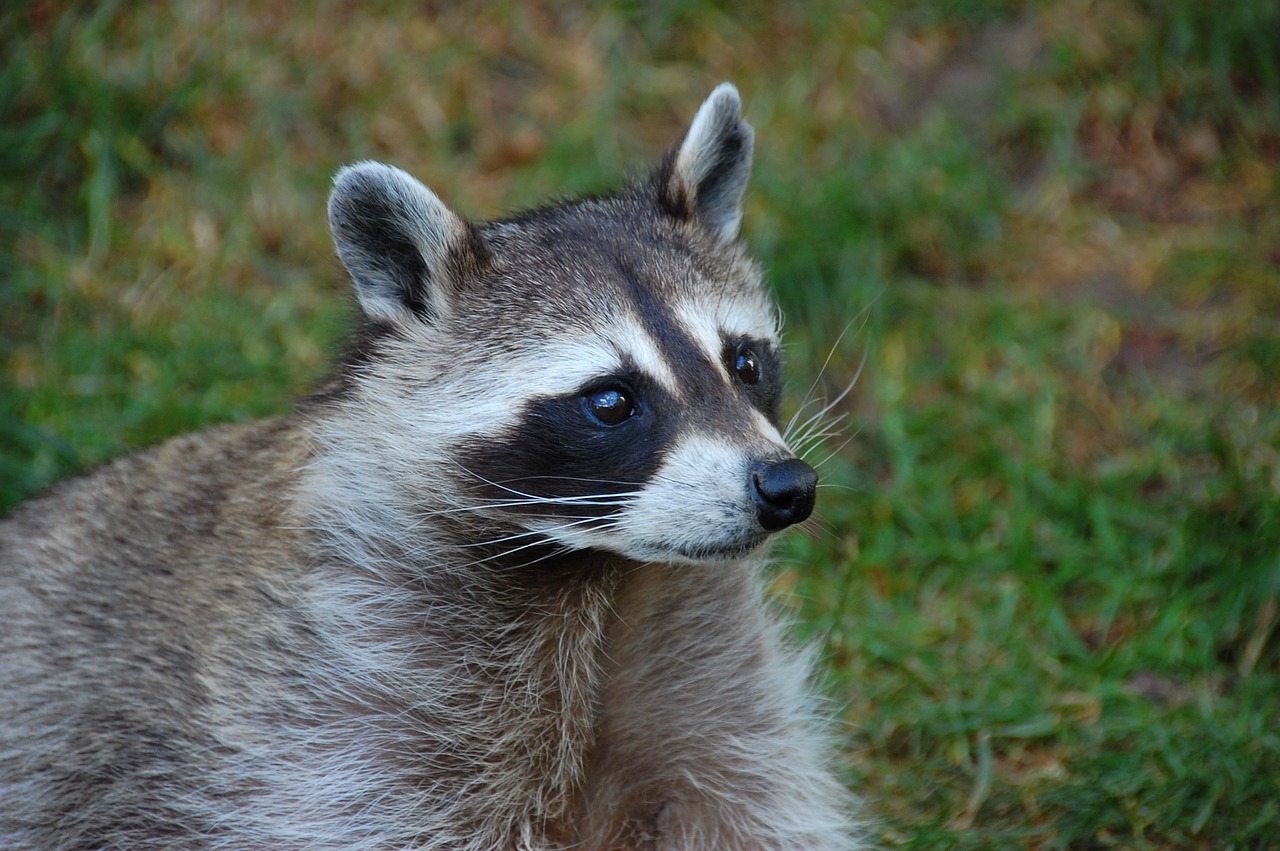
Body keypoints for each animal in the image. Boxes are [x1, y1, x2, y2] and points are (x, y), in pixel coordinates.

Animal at [2, 83, 860, 844]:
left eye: (743, 362)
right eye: (612, 400)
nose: (786, 486)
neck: (604, 577)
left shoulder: (707, 677)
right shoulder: (335, 712)